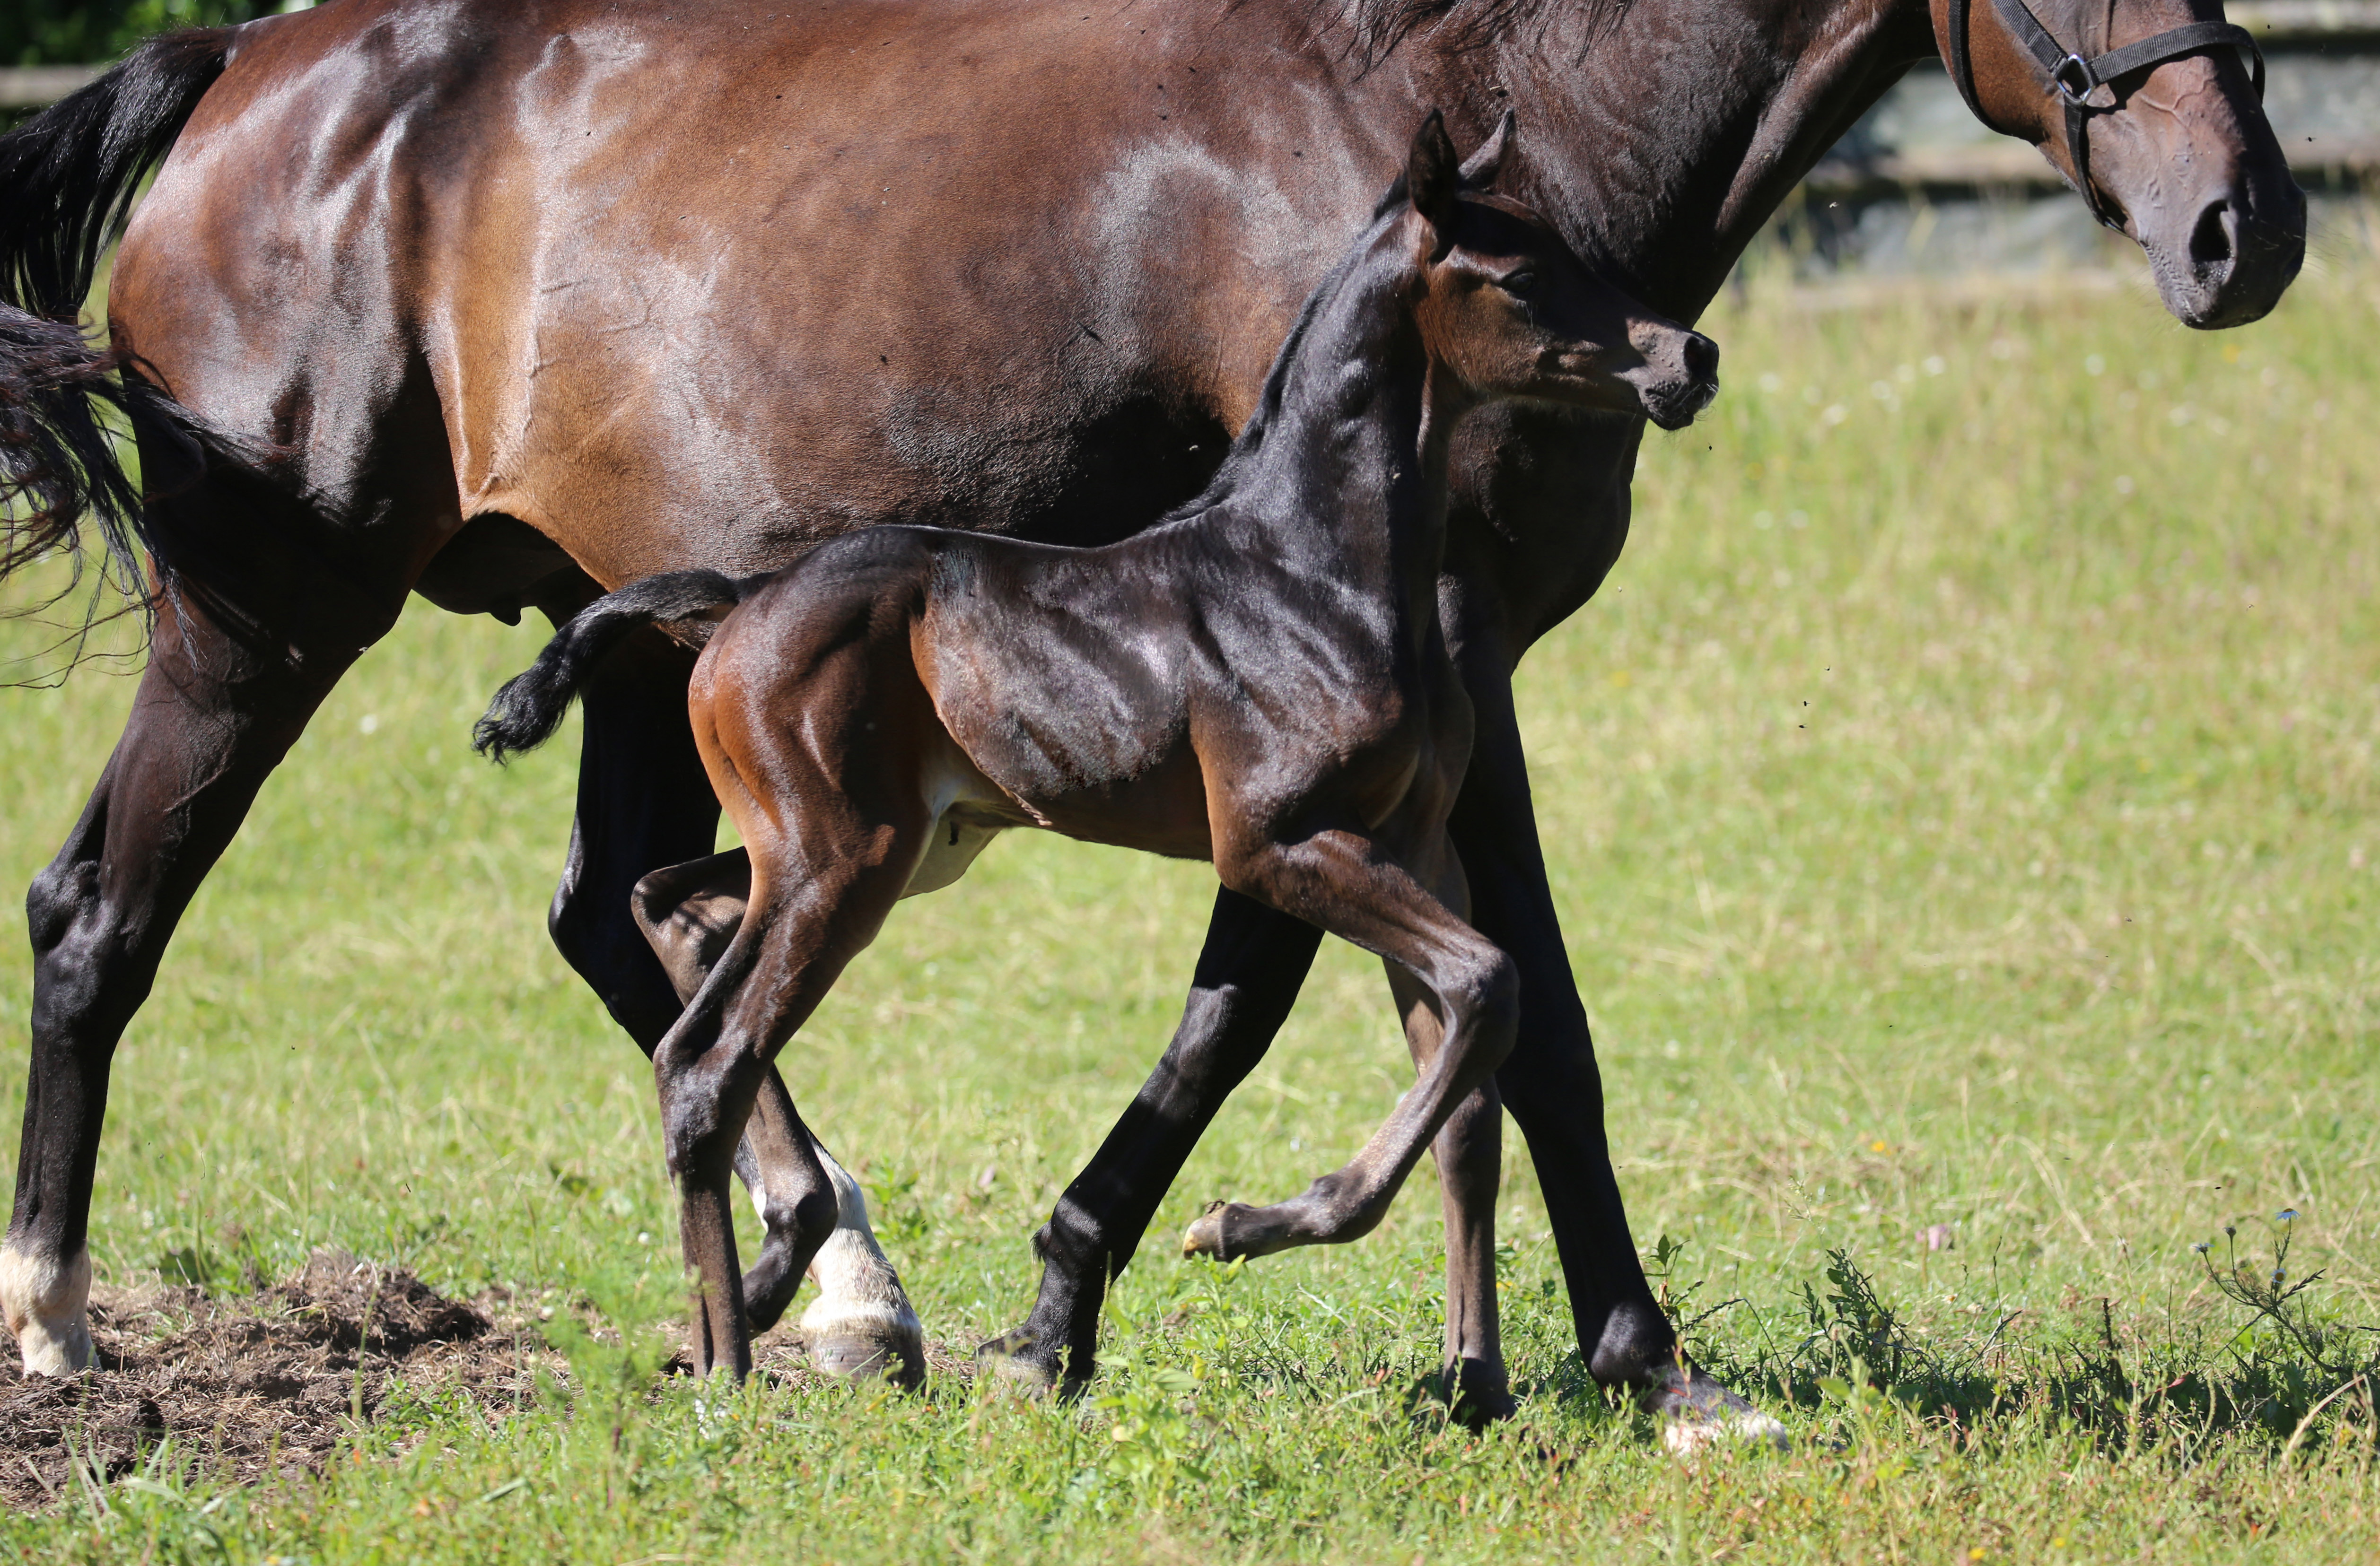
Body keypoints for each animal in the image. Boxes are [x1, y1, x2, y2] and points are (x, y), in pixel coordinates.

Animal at [473, 119, 1723, 1380]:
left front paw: (1471, 1388)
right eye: (1517, 278)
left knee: (669, 906)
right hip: (842, 862)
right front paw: (1236, 1227)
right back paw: (732, 1358)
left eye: (1570, 249)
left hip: (879, 846)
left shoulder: (1409, 843)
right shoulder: (1278, 846)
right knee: (701, 1061)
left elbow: (1466, 1090)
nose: (1690, 356)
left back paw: (759, 1286)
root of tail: (736, 600)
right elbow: (1486, 984)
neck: (1311, 568)